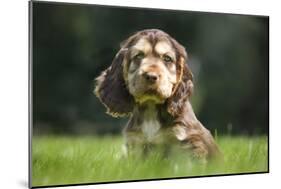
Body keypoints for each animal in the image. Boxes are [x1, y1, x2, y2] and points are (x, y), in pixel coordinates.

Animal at [94, 28, 221, 160]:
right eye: (139, 56)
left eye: (167, 58)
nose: (151, 76)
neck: (151, 110)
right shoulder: (136, 144)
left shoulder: (190, 142)